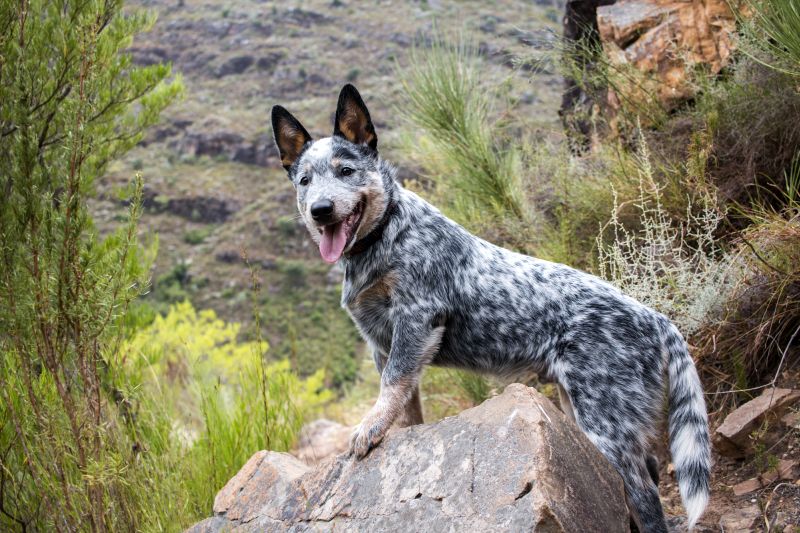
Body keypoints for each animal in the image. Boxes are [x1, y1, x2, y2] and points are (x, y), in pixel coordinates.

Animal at [272, 84, 708, 532]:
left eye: (345, 170)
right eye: (304, 180)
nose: (320, 210)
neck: (386, 235)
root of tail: (656, 319)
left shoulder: (416, 319)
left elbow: (391, 385)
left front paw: (368, 429)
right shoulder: (381, 342)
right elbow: (405, 406)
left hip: (608, 424)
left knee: (646, 495)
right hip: (581, 411)